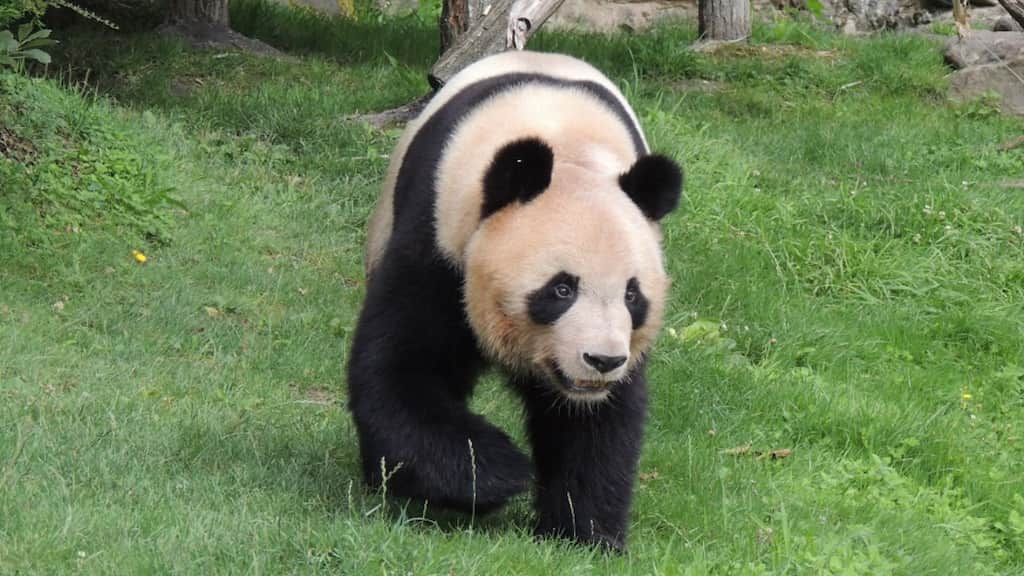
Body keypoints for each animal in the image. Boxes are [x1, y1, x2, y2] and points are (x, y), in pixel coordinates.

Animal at [347, 50, 682, 550]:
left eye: (632, 294)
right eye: (561, 289)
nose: (602, 361)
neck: (568, 149)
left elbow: (599, 424)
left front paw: (583, 533)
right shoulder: (440, 238)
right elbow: (401, 367)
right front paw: (496, 472)